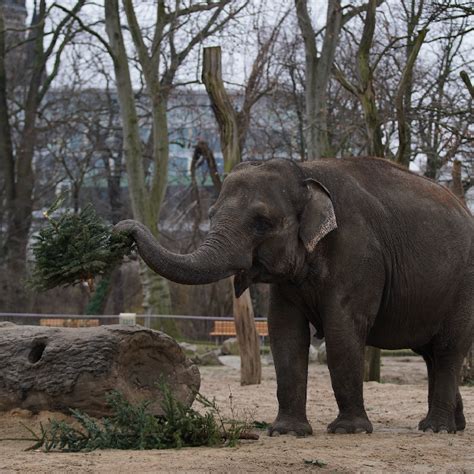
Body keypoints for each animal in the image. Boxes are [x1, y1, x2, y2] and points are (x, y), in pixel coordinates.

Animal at [115, 157, 474, 436]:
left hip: (463, 288)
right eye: (212, 213)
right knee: (431, 355)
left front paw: (349, 430)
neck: (304, 171)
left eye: (262, 222)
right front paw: (286, 432)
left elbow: (342, 331)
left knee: (447, 350)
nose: (123, 231)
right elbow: (285, 332)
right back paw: (449, 427)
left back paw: (437, 429)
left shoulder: (358, 255)